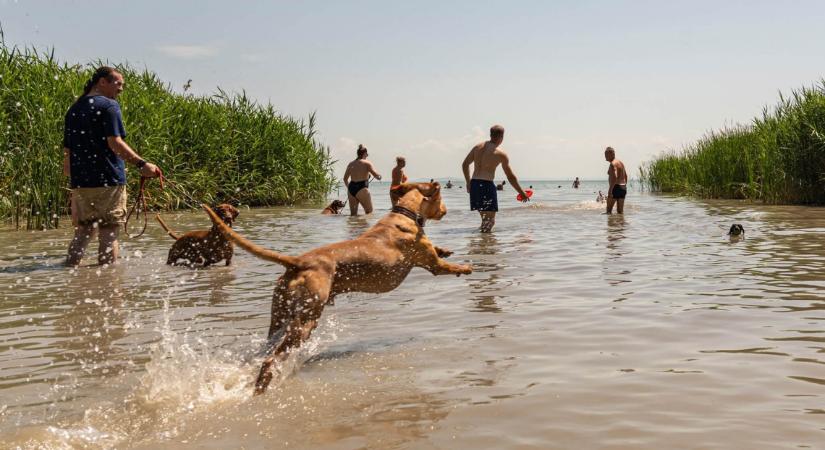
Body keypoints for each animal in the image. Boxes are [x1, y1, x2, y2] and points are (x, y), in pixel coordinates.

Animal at [202, 183, 470, 394]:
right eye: (440, 201)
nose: (445, 211)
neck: (403, 214)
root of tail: (297, 262)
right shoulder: (431, 264)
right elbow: (444, 264)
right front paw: (466, 267)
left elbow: (439, 251)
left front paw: (446, 249)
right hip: (306, 319)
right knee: (271, 358)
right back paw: (262, 387)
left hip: (279, 314)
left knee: (266, 347)